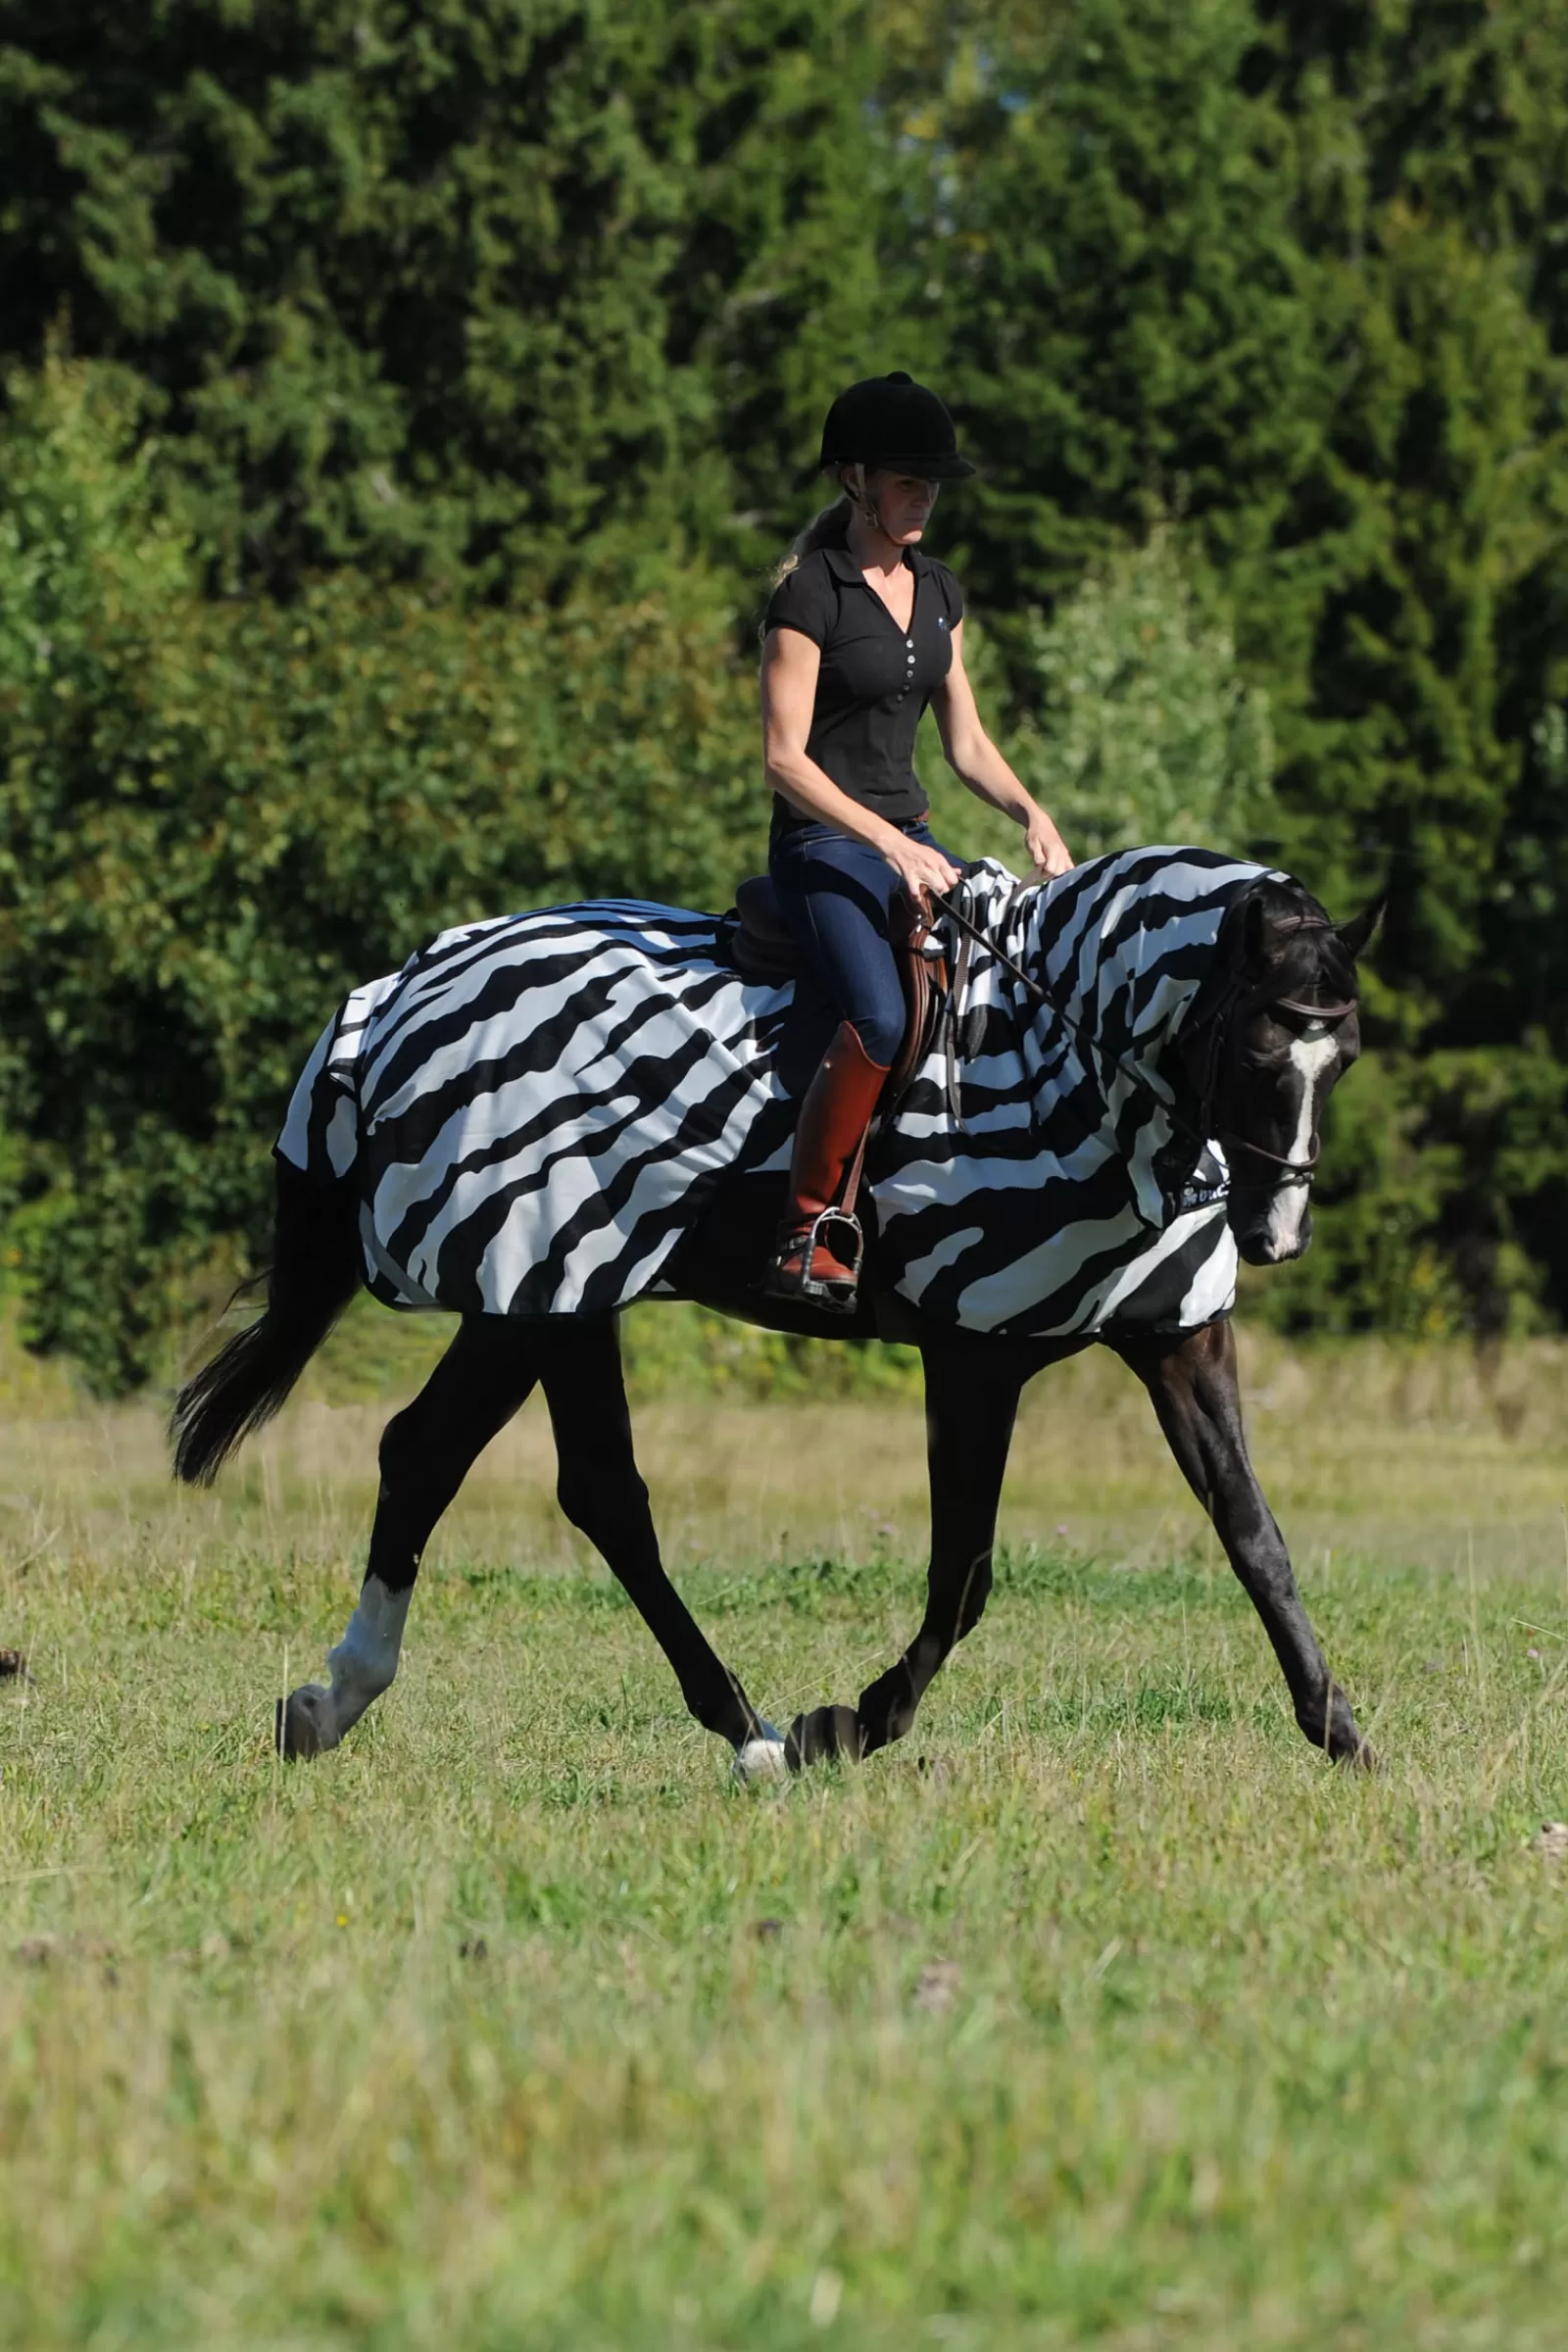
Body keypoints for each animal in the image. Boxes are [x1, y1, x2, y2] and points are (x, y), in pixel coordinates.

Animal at [166, 856, 1382, 1768]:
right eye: (1260, 1045)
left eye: (1345, 1057)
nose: (1276, 1234)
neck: (1068, 1068)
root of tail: (397, 996)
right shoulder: (974, 1354)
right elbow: (965, 1573)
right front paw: (848, 1724)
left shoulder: (1177, 1337)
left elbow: (1253, 1536)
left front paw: (1342, 1735)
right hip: (541, 1291)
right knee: (550, 1483)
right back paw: (739, 1734)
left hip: (545, 1299)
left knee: (481, 1467)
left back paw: (352, 1702)